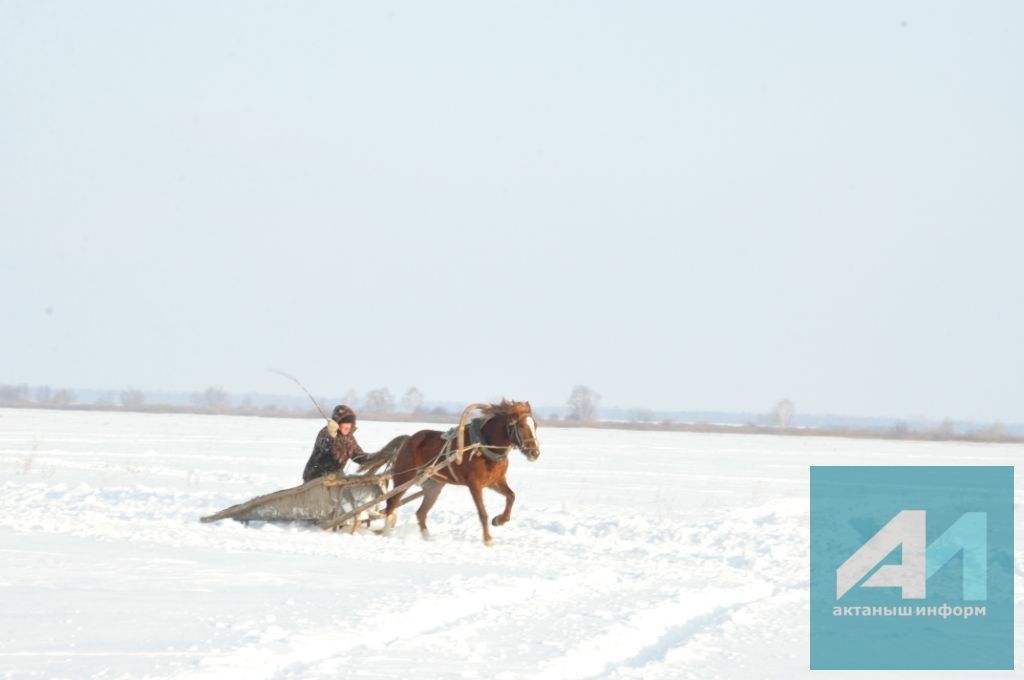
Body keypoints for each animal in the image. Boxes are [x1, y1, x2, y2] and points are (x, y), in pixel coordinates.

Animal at [360, 401, 540, 544]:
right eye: (521, 425)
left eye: (536, 425)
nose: (535, 453)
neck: (483, 444)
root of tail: (408, 439)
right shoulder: (474, 484)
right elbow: (482, 513)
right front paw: (488, 539)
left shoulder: (495, 481)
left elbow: (511, 496)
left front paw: (499, 520)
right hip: (403, 478)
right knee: (391, 505)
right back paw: (386, 534)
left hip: (433, 486)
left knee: (420, 513)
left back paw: (428, 538)